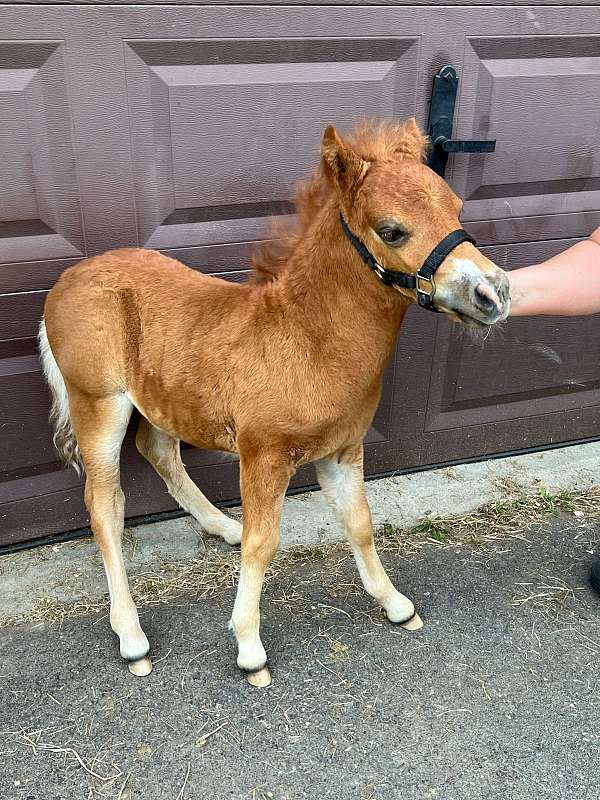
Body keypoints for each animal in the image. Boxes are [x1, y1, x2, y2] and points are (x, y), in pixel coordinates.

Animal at [38, 120, 506, 688]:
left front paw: (396, 605)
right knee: (104, 505)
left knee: (158, 449)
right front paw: (249, 648)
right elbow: (264, 543)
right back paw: (131, 636)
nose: (494, 293)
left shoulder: (342, 450)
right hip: (98, 403)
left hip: (161, 395)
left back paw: (221, 526)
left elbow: (360, 523)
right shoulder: (264, 455)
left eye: (457, 207)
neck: (306, 338)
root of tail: (63, 284)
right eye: (392, 230)